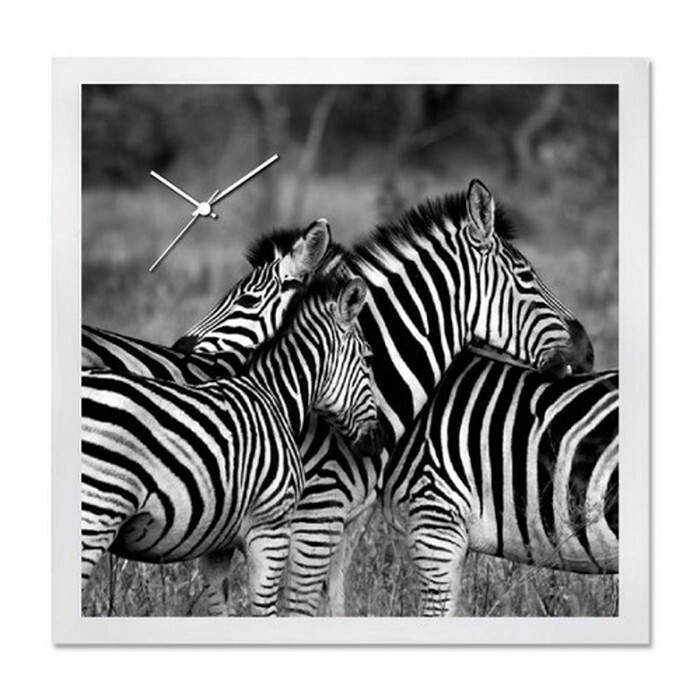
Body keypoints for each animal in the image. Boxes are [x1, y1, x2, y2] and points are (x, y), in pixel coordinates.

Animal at [81, 269, 384, 616]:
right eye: (368, 359)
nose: (378, 440)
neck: (274, 397)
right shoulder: (270, 526)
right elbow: (265, 610)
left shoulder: (216, 542)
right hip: (96, 513)